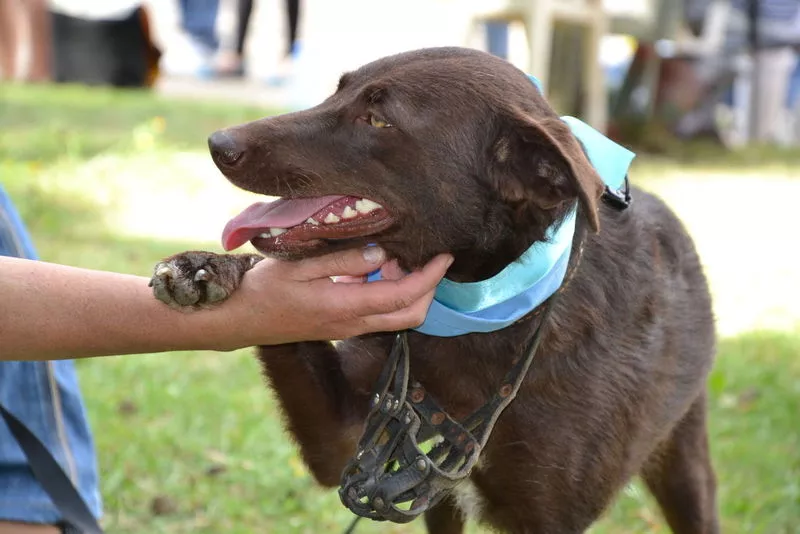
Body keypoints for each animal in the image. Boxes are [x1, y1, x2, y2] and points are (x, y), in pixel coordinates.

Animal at [150, 48, 720, 532]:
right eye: (338, 91)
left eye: (380, 120)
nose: (218, 144)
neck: (487, 313)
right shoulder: (345, 440)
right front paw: (206, 266)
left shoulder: (549, 515)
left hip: (685, 460)